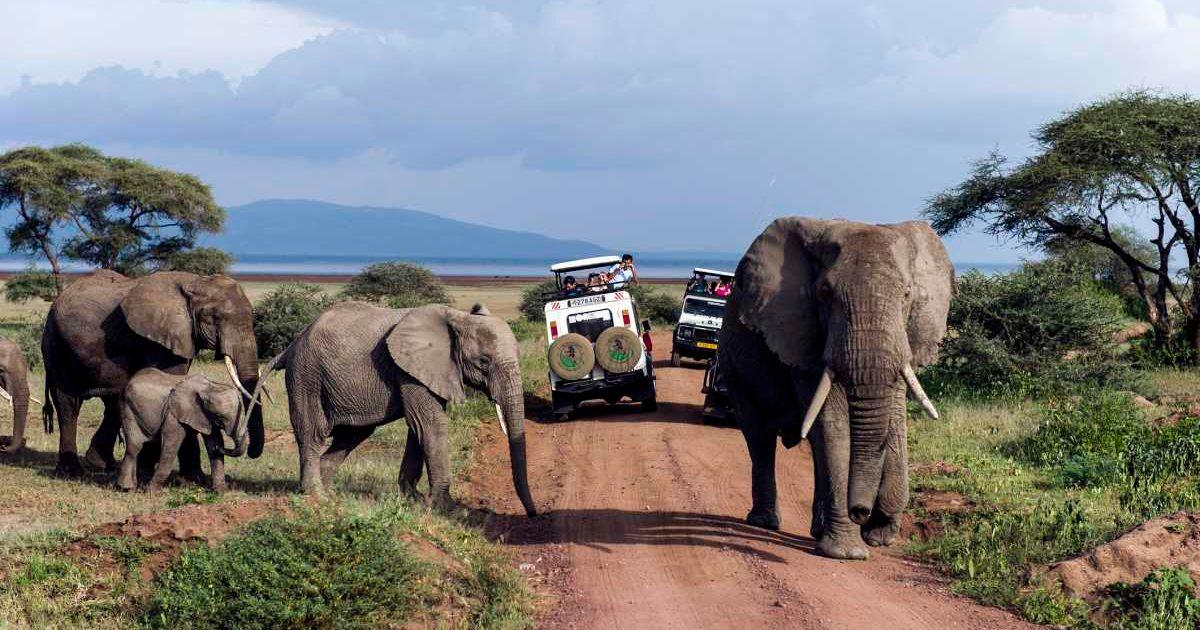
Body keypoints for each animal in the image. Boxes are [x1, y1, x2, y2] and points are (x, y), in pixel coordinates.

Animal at [41, 270, 264, 477]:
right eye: (215, 318)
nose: (227, 448)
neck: (195, 282)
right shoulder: (160, 337)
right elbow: (174, 382)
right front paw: (191, 477)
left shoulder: (182, 336)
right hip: (56, 343)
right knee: (68, 404)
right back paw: (72, 472)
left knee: (112, 403)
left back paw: (103, 465)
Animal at [118, 369, 248, 493]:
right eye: (220, 417)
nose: (221, 449)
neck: (207, 387)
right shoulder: (173, 413)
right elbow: (171, 446)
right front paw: (152, 492)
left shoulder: (204, 415)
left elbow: (214, 441)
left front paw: (220, 492)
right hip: (128, 409)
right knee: (134, 447)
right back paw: (127, 488)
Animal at [249, 301, 536, 516]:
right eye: (483, 362)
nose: (532, 514)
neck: (457, 317)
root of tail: (292, 345)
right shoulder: (409, 369)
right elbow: (430, 424)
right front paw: (447, 510)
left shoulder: (427, 371)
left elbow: (418, 427)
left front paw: (413, 499)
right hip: (306, 375)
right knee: (312, 432)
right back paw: (317, 497)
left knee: (352, 435)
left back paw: (325, 491)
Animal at [718, 217, 952, 560]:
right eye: (825, 293)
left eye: (907, 294)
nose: (861, 512)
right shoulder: (801, 332)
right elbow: (833, 421)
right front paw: (847, 553)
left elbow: (895, 417)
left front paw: (880, 534)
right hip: (733, 363)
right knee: (759, 435)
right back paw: (764, 522)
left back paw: (816, 529)